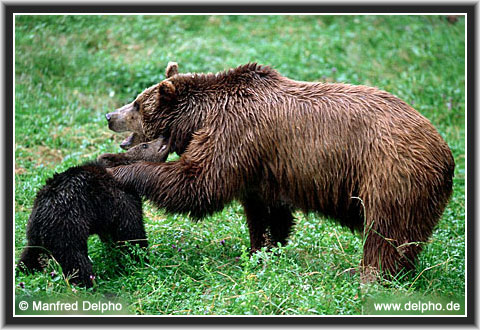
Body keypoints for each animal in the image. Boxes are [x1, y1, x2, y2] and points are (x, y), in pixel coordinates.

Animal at [18, 137, 169, 286]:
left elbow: (111, 238)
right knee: (76, 261)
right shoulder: (122, 202)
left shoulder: (106, 215)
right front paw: (142, 259)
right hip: (68, 227)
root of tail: (41, 213)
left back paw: (23, 271)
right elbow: (132, 232)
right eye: (144, 145)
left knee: (30, 255)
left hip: (35, 234)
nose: (163, 138)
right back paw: (87, 283)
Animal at [104, 61, 454, 278]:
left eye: (137, 104)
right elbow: (266, 214)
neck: (200, 118)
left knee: (385, 232)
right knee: (406, 237)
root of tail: (445, 151)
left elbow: (197, 184)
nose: (109, 116)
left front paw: (117, 168)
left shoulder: (235, 133)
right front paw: (259, 252)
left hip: (390, 171)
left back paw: (368, 275)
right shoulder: (262, 166)